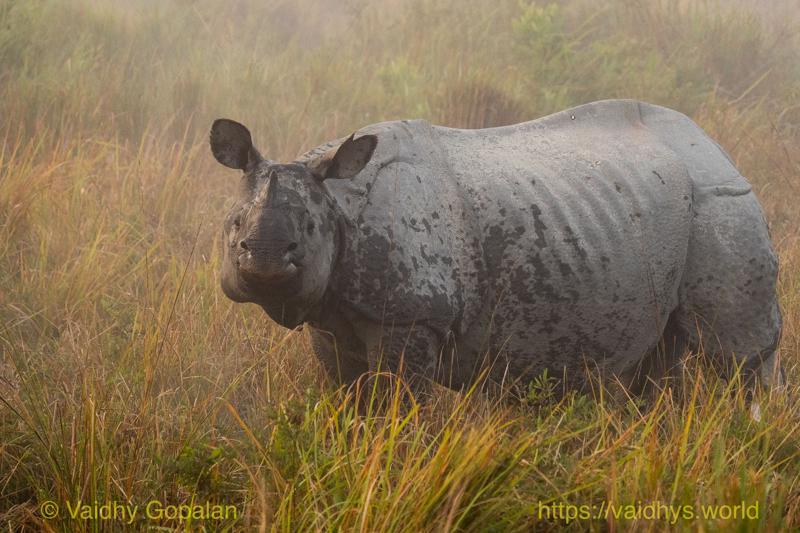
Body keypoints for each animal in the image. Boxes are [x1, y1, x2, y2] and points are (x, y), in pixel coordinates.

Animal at [209, 99, 783, 400]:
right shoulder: (333, 318)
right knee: (654, 366)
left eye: (306, 229)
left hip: (721, 204)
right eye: (233, 225)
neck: (338, 200)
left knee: (740, 360)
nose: (263, 261)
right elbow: (346, 398)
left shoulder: (414, 316)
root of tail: (714, 145)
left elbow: (398, 406)